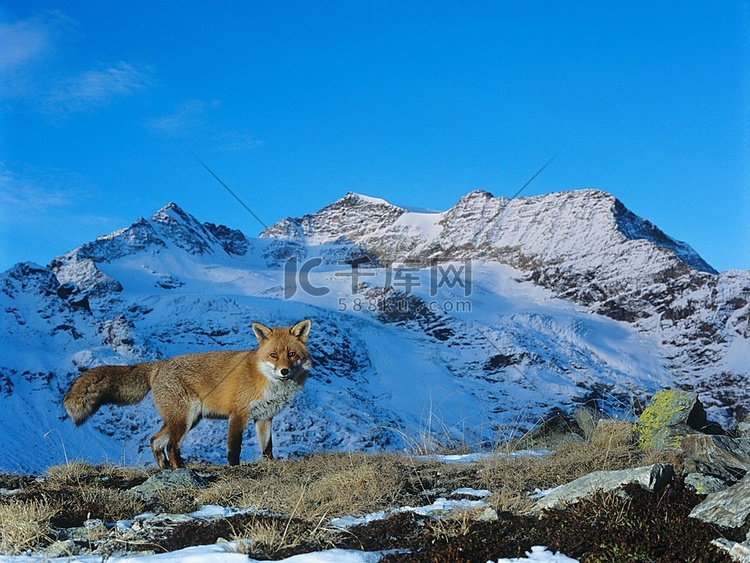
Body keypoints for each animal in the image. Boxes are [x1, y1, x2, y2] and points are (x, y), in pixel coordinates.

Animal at [63, 320, 312, 470]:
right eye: (273, 355)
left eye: (291, 354)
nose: (284, 371)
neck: (266, 380)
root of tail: (157, 365)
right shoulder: (238, 414)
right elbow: (234, 448)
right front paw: (234, 469)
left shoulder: (264, 417)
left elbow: (267, 448)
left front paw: (270, 465)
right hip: (186, 418)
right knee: (172, 446)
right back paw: (181, 469)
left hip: (187, 419)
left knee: (155, 441)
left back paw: (165, 469)